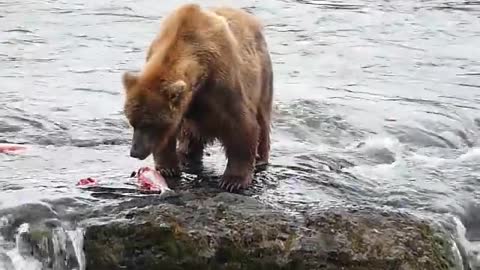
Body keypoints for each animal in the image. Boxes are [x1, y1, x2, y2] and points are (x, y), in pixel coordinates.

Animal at [121, 2, 274, 192]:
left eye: (149, 124)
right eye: (132, 122)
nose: (134, 152)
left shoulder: (222, 82)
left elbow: (242, 126)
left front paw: (233, 180)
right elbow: (170, 134)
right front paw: (168, 168)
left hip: (262, 77)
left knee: (262, 119)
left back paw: (261, 159)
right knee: (191, 135)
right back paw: (187, 154)